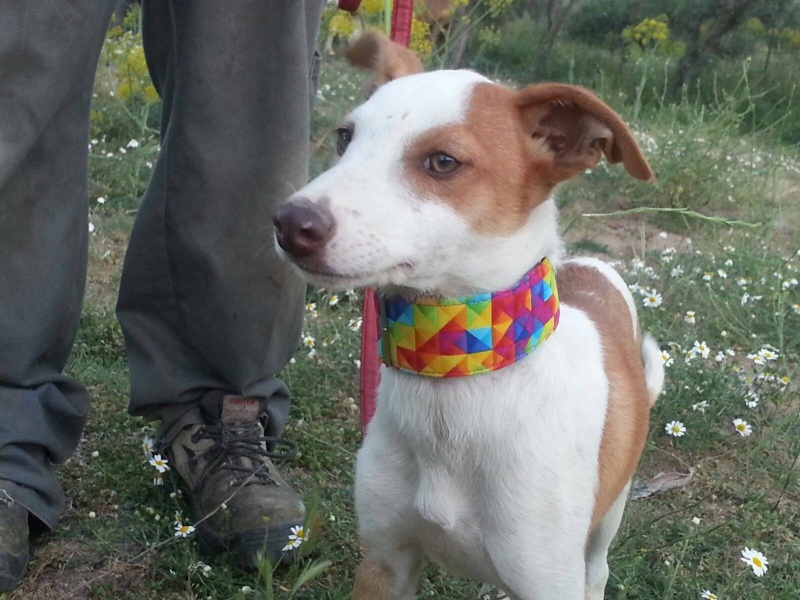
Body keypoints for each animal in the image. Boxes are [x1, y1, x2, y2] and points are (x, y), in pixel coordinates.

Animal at [276, 31, 664, 600]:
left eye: (442, 162)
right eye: (346, 138)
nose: (289, 223)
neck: (456, 364)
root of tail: (592, 266)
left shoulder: (549, 580)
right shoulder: (384, 563)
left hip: (605, 522)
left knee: (598, 568)